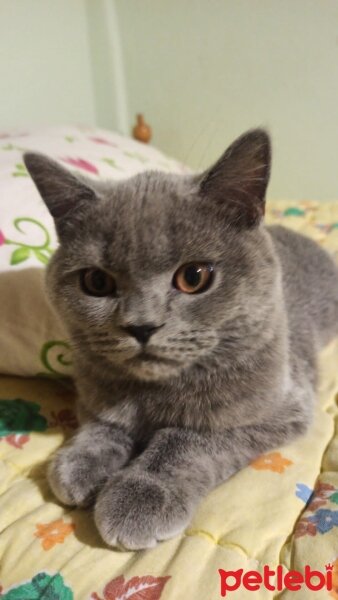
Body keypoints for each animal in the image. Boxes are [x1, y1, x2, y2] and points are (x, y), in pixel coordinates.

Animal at [23, 129, 338, 552]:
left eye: (195, 277)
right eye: (96, 282)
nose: (141, 326)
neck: (153, 392)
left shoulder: (281, 409)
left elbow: (186, 439)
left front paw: (138, 496)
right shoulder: (91, 392)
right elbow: (102, 423)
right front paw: (80, 463)